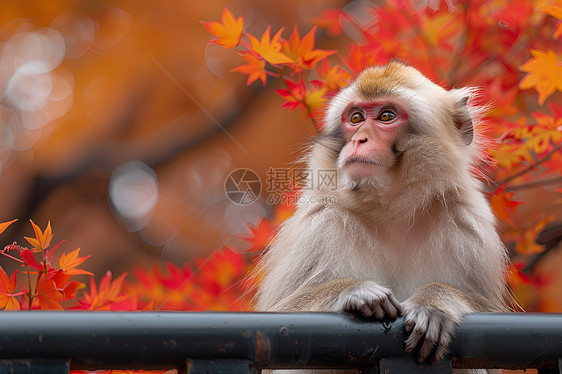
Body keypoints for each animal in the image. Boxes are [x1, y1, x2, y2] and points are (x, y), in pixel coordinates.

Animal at [252, 62, 510, 374]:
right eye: (356, 118)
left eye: (386, 116)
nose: (358, 139)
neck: (391, 210)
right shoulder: (319, 223)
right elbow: (279, 318)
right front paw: (354, 291)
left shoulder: (467, 221)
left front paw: (434, 301)